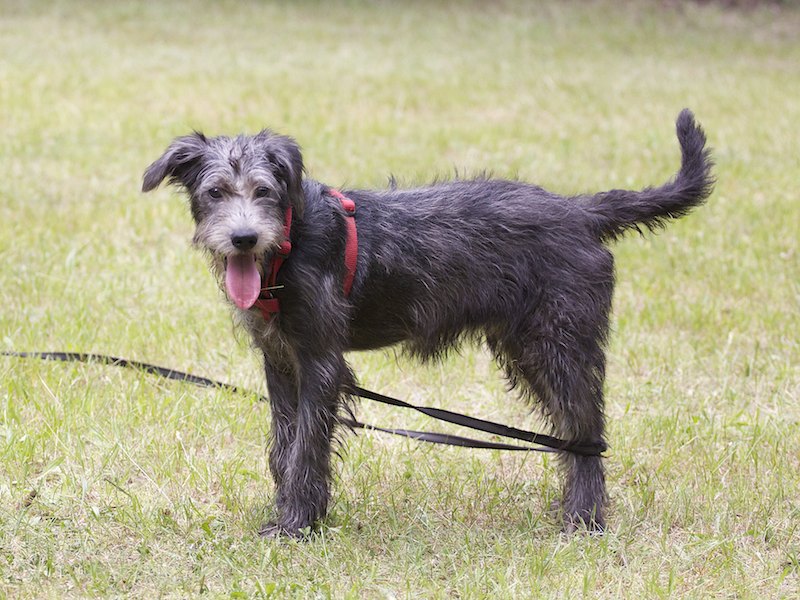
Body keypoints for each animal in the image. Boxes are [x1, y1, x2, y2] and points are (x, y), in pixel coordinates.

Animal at [142, 109, 714, 537]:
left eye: (264, 191)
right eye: (215, 192)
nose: (243, 238)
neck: (289, 241)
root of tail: (579, 211)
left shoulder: (321, 363)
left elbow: (307, 447)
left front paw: (297, 525)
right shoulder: (281, 362)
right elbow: (284, 444)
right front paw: (287, 509)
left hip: (559, 345)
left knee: (586, 432)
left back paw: (585, 521)